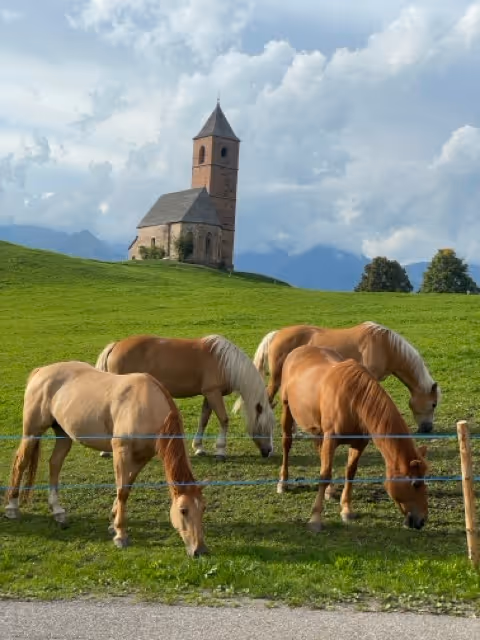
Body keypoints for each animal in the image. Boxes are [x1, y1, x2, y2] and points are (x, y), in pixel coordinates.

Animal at [4, 361, 208, 557]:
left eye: (203, 509)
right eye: (183, 510)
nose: (199, 550)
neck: (147, 404)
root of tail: (41, 371)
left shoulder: (142, 457)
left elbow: (127, 486)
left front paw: (113, 522)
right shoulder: (121, 452)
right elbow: (122, 490)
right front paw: (120, 535)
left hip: (63, 435)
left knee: (55, 464)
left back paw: (57, 510)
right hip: (32, 432)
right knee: (21, 462)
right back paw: (12, 507)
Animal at [95, 334, 275, 460]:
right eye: (265, 426)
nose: (268, 451)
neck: (224, 362)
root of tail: (116, 345)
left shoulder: (209, 394)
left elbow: (204, 419)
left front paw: (199, 447)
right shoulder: (213, 393)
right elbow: (224, 419)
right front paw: (220, 450)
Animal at [277, 345, 429, 532]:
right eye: (415, 484)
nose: (422, 520)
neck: (353, 400)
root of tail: (299, 350)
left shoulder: (359, 443)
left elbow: (350, 472)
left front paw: (346, 510)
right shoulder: (331, 439)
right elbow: (324, 474)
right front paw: (315, 519)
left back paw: (330, 491)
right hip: (287, 410)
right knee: (287, 444)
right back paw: (283, 482)